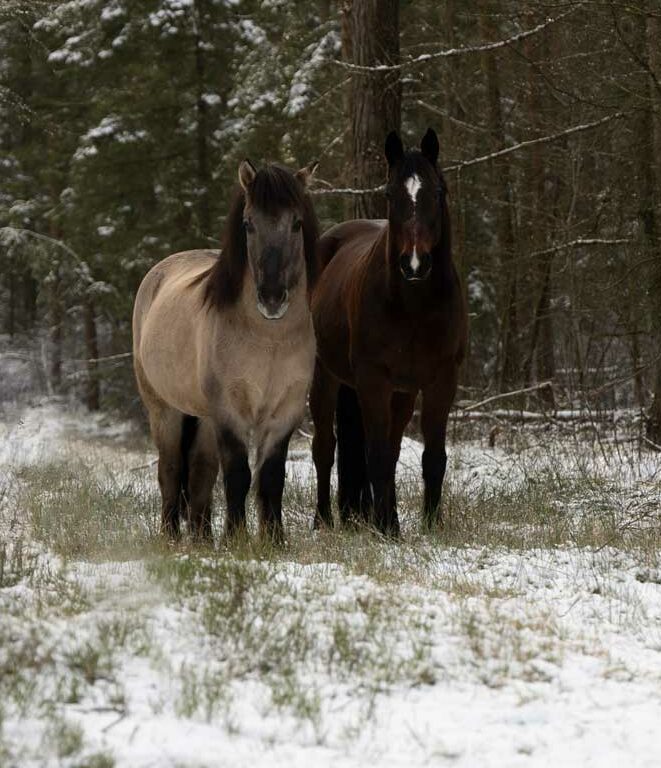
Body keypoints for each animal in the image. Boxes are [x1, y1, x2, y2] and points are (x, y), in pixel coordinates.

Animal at [132, 159, 319, 543]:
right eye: (248, 224)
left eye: (296, 223)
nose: (272, 297)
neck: (269, 339)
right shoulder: (230, 412)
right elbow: (238, 476)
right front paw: (236, 539)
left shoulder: (285, 412)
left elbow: (271, 478)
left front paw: (274, 541)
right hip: (164, 410)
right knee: (171, 469)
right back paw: (171, 537)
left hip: (203, 417)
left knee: (200, 471)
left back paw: (203, 537)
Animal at [310, 128, 467, 537]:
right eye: (389, 193)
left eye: (438, 191)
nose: (414, 263)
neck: (414, 304)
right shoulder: (373, 379)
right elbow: (377, 454)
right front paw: (386, 530)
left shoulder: (441, 379)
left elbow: (432, 456)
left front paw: (430, 525)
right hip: (325, 375)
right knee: (324, 447)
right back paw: (324, 520)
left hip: (403, 392)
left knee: (392, 449)